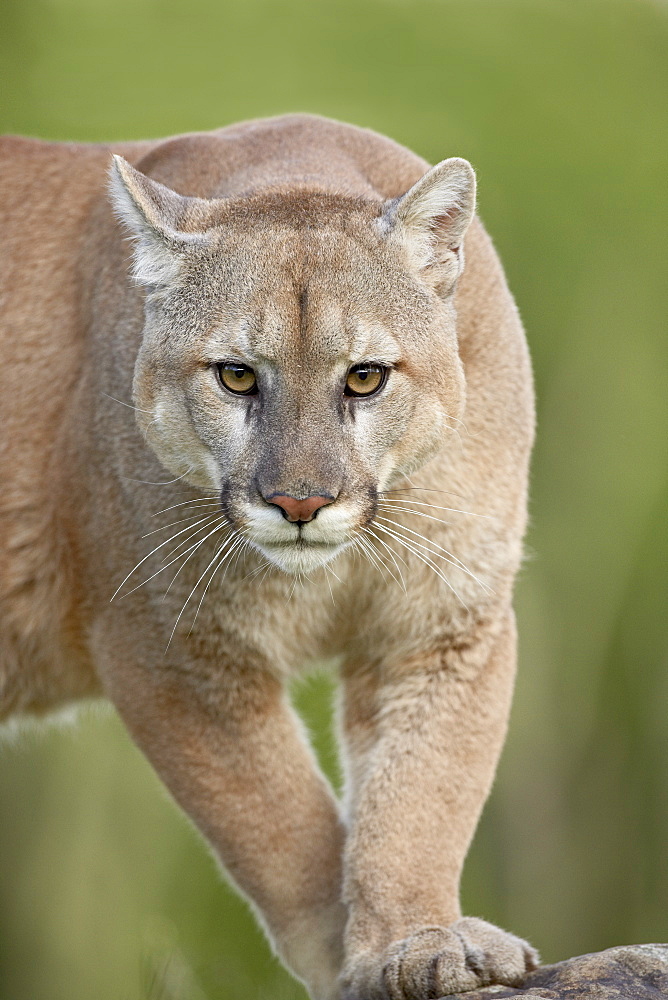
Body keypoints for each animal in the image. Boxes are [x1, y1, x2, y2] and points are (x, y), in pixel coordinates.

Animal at [0, 115, 536, 1000]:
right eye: (237, 376)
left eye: (365, 377)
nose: (300, 502)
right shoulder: (170, 651)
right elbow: (284, 828)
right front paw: (350, 963)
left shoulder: (445, 625)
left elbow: (421, 794)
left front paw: (418, 939)